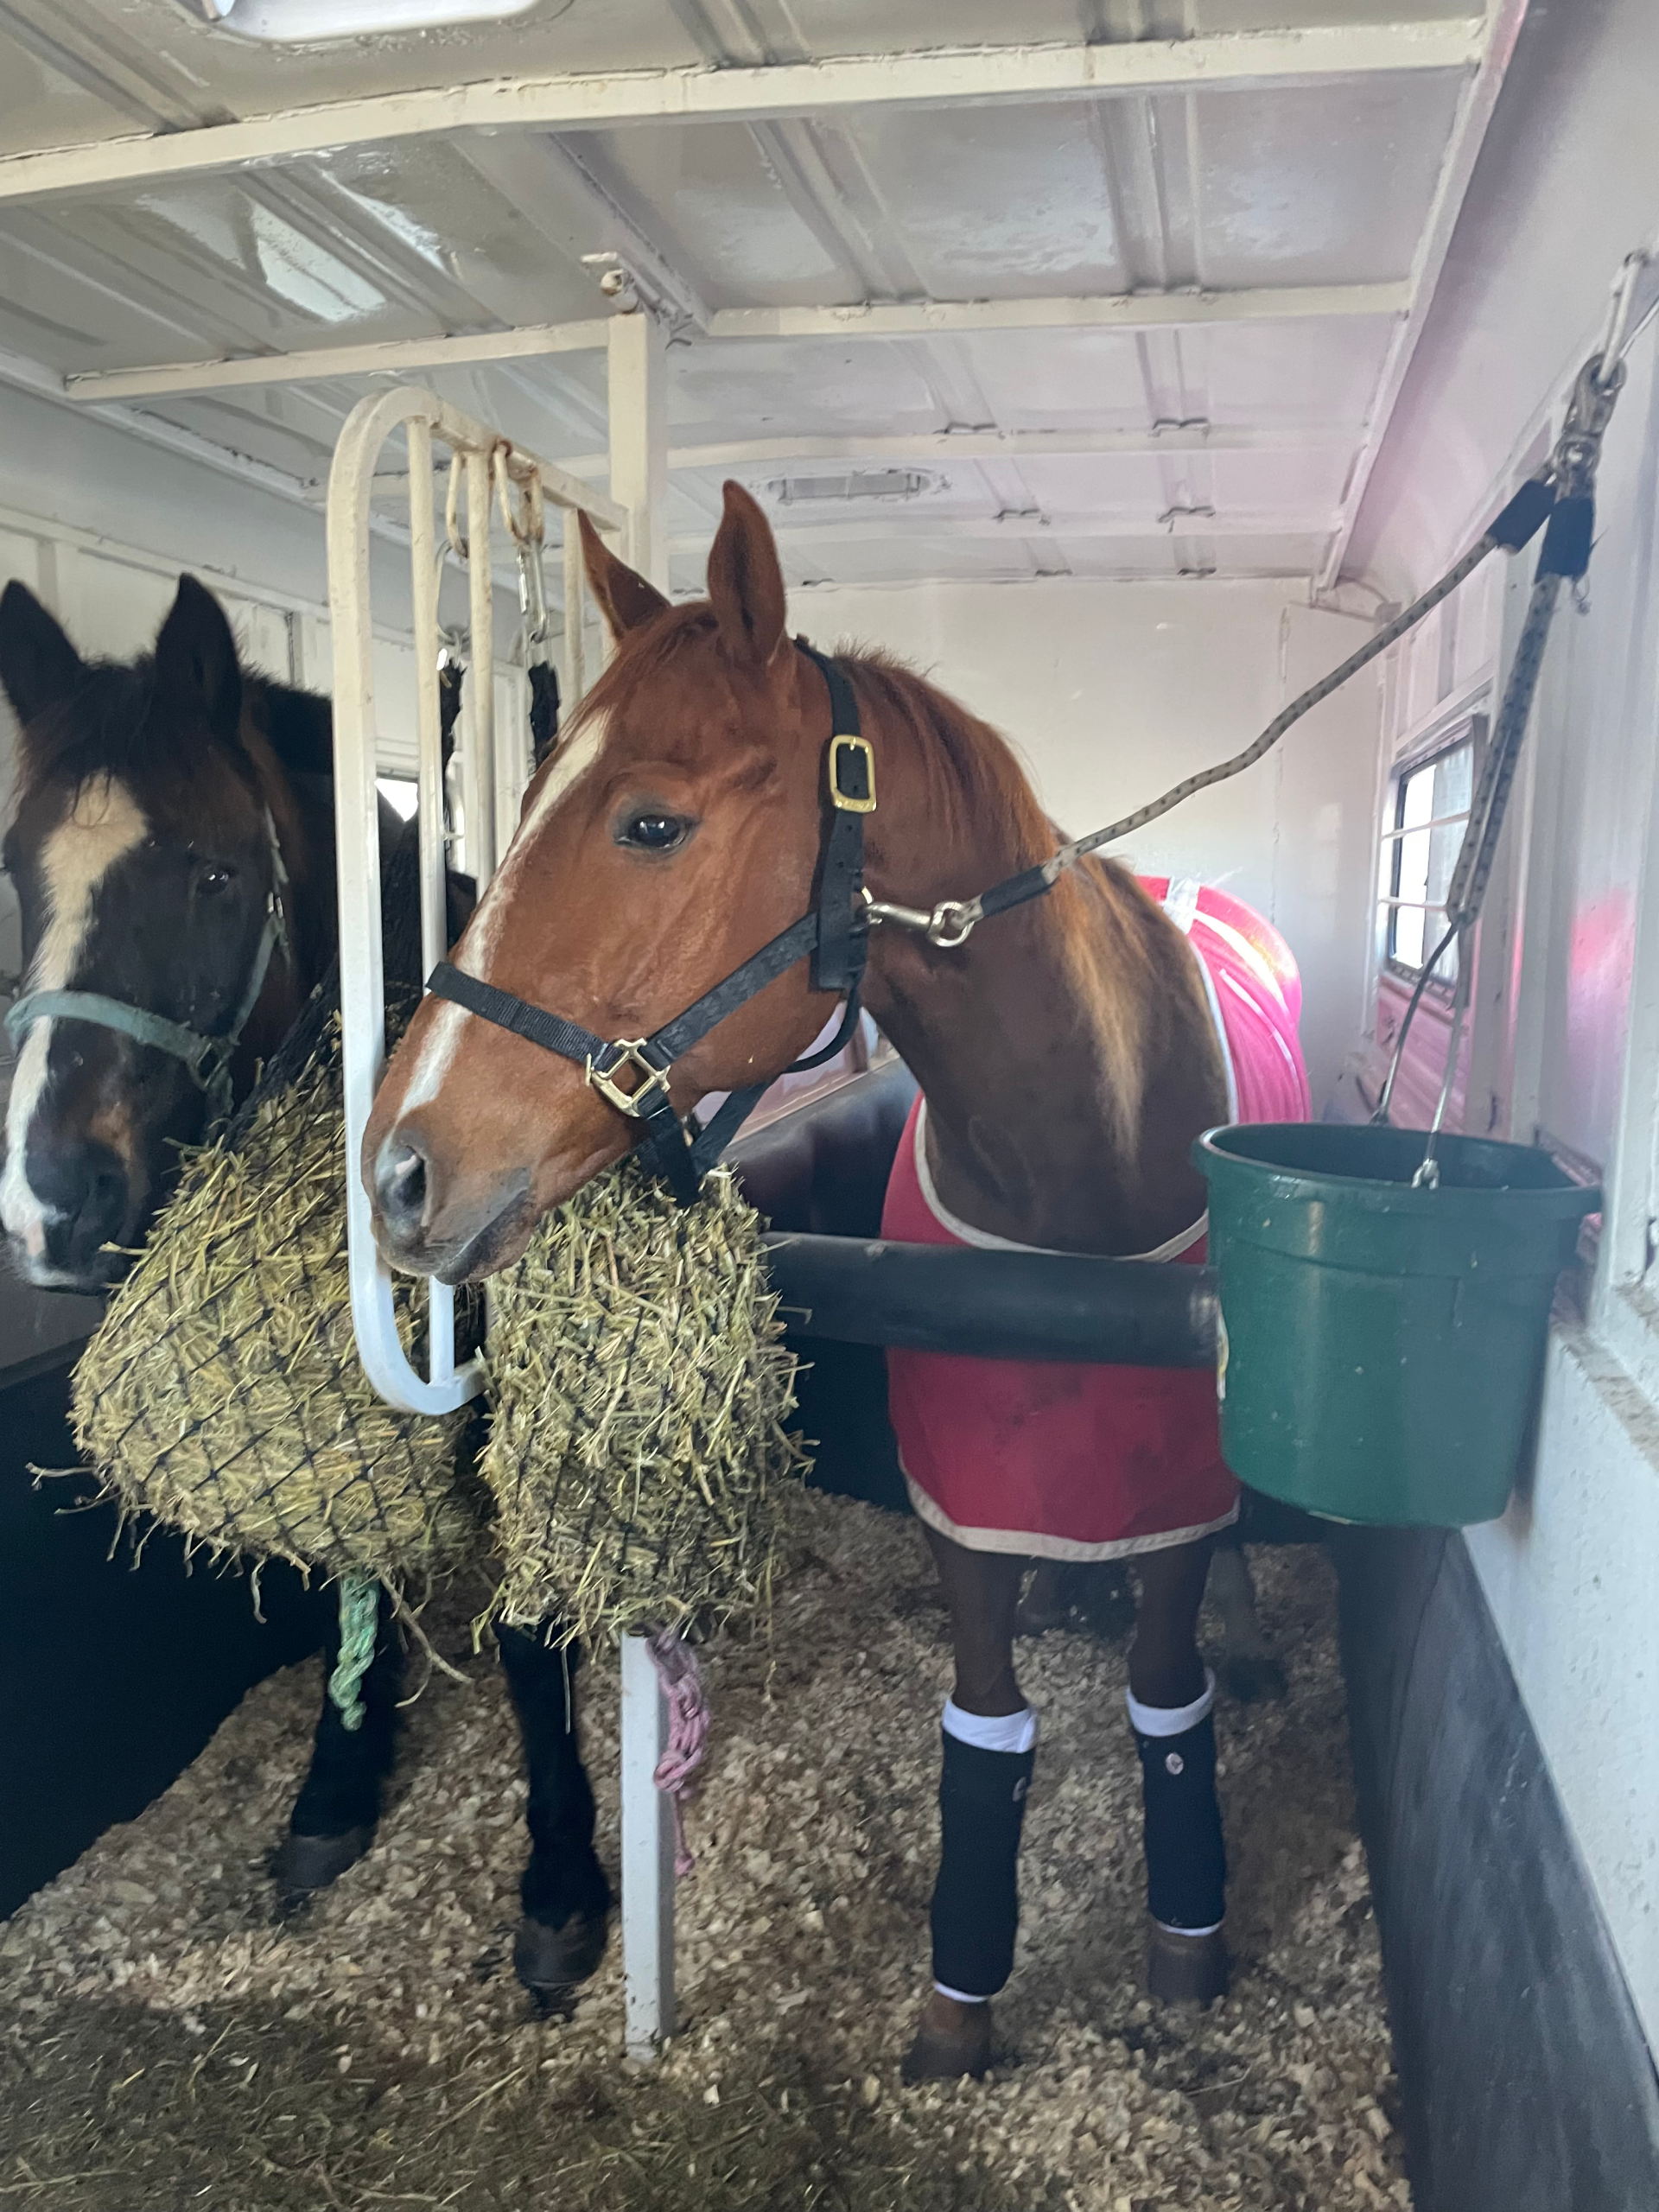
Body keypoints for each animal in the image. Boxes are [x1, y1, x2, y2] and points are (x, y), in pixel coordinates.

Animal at [0, 576, 613, 1994]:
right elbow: (355, 1583)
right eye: (13, 869)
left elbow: (526, 1623)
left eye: (219, 872)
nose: (50, 1203)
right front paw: (337, 1784)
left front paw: (562, 1870)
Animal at [359, 482, 1311, 2080]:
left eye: (652, 822)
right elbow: (985, 1726)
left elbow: (1165, 1697)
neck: (1077, 1167)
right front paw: (961, 1998)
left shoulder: (1171, 1501)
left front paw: (1190, 1945)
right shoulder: (966, 1509)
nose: (397, 1172)